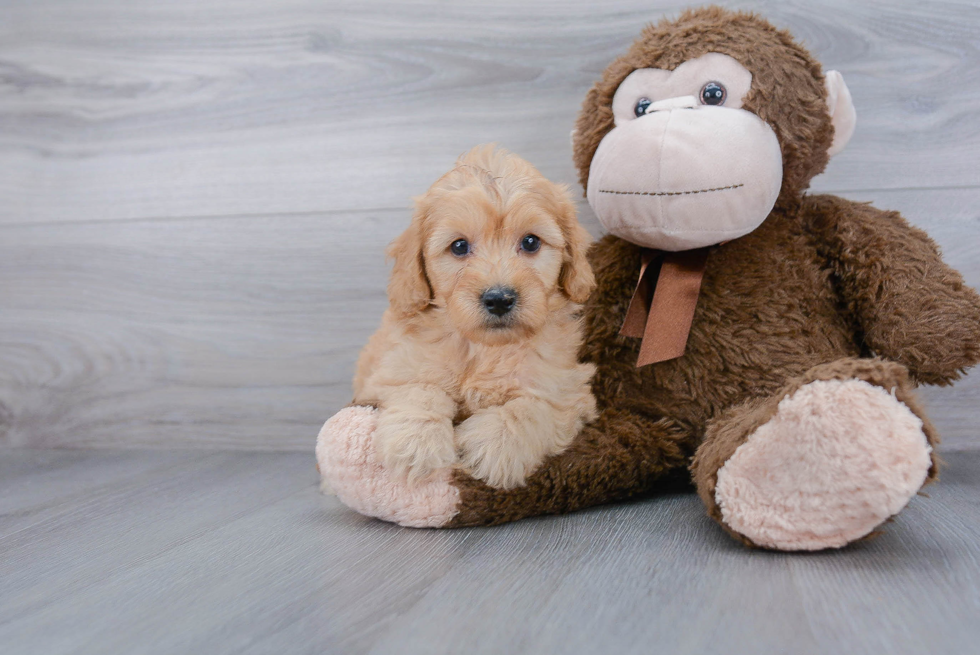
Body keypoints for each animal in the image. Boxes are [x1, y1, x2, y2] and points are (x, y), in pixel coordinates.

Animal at [352, 145, 596, 492]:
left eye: (531, 242)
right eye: (459, 246)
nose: (499, 299)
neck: (484, 349)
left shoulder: (567, 388)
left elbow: (533, 406)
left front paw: (495, 446)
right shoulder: (388, 375)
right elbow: (420, 388)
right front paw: (416, 443)